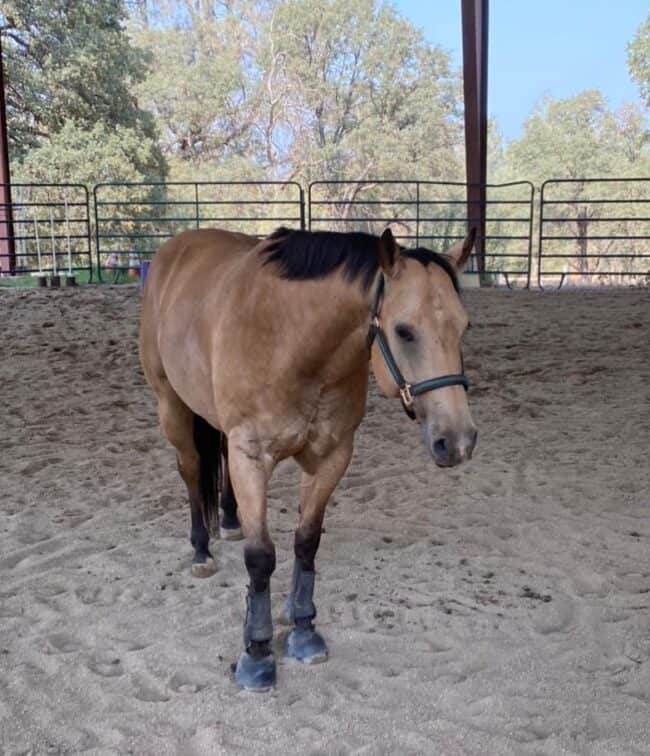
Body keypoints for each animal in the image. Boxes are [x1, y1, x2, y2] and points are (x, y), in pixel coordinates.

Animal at [139, 224, 476, 692]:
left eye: (463, 327)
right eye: (405, 331)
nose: (458, 441)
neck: (291, 340)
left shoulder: (332, 456)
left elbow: (306, 542)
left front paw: (302, 629)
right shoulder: (251, 458)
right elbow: (261, 557)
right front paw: (257, 652)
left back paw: (229, 520)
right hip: (172, 407)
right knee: (190, 470)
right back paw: (202, 551)